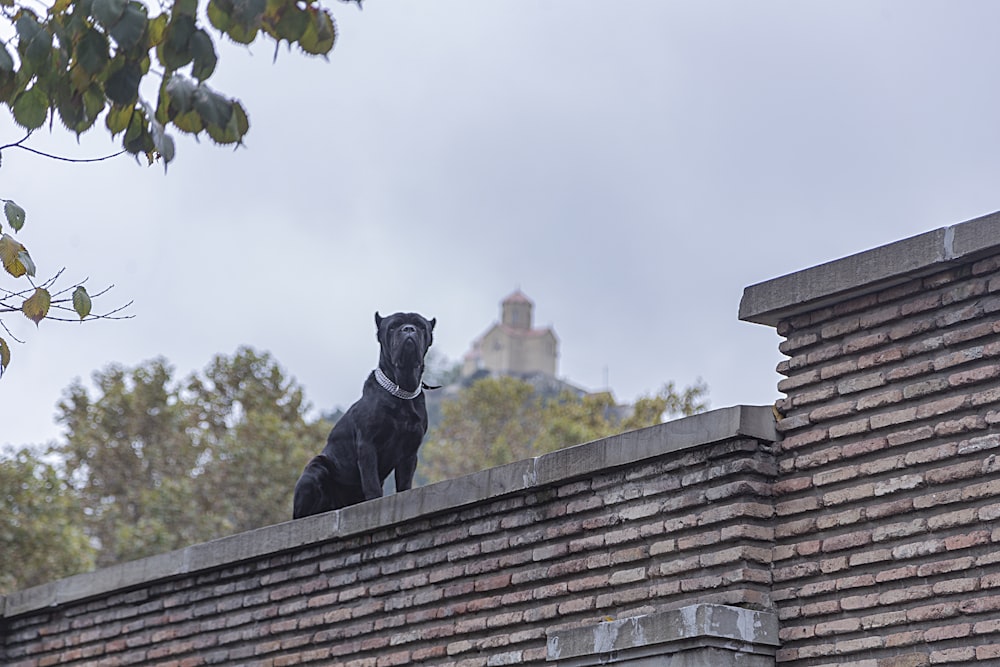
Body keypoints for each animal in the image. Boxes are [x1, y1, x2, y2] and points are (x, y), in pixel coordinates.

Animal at [294, 310, 440, 520]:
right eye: (393, 326)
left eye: (420, 326)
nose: (408, 329)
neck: (401, 391)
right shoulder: (368, 445)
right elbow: (371, 483)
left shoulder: (410, 451)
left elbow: (404, 483)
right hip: (316, 467)